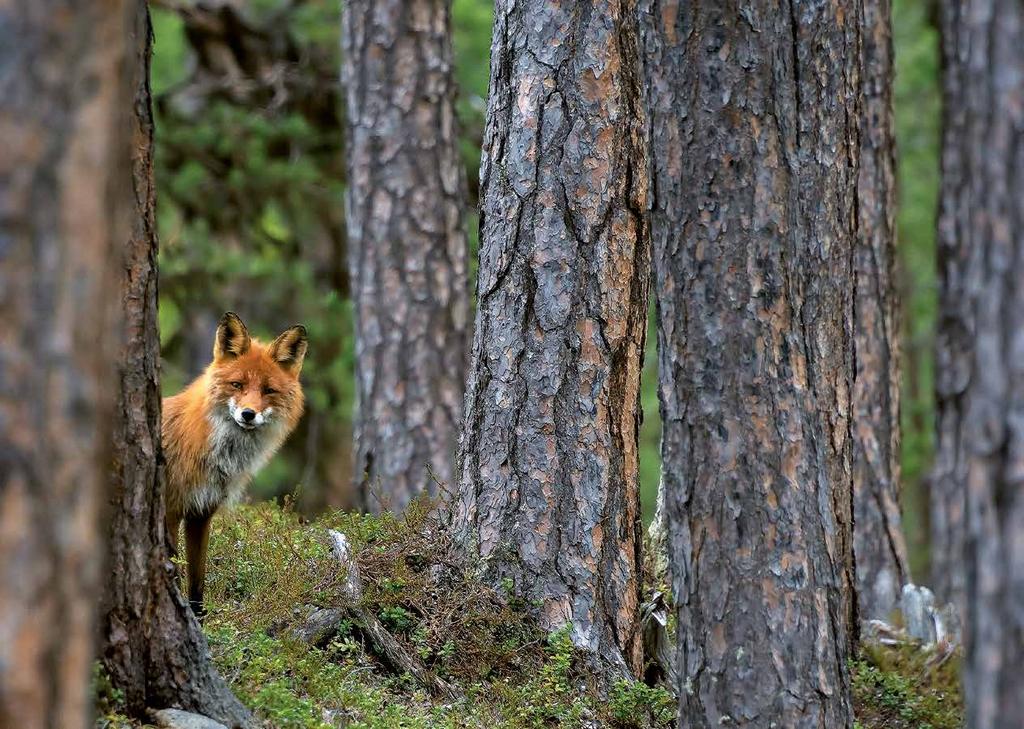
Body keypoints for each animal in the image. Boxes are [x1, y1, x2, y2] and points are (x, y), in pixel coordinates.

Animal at [161, 311, 307, 610]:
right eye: (237, 385)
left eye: (268, 390)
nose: (248, 414)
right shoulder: (170, 509)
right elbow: (175, 572)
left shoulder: (201, 513)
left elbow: (197, 584)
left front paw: (197, 616)